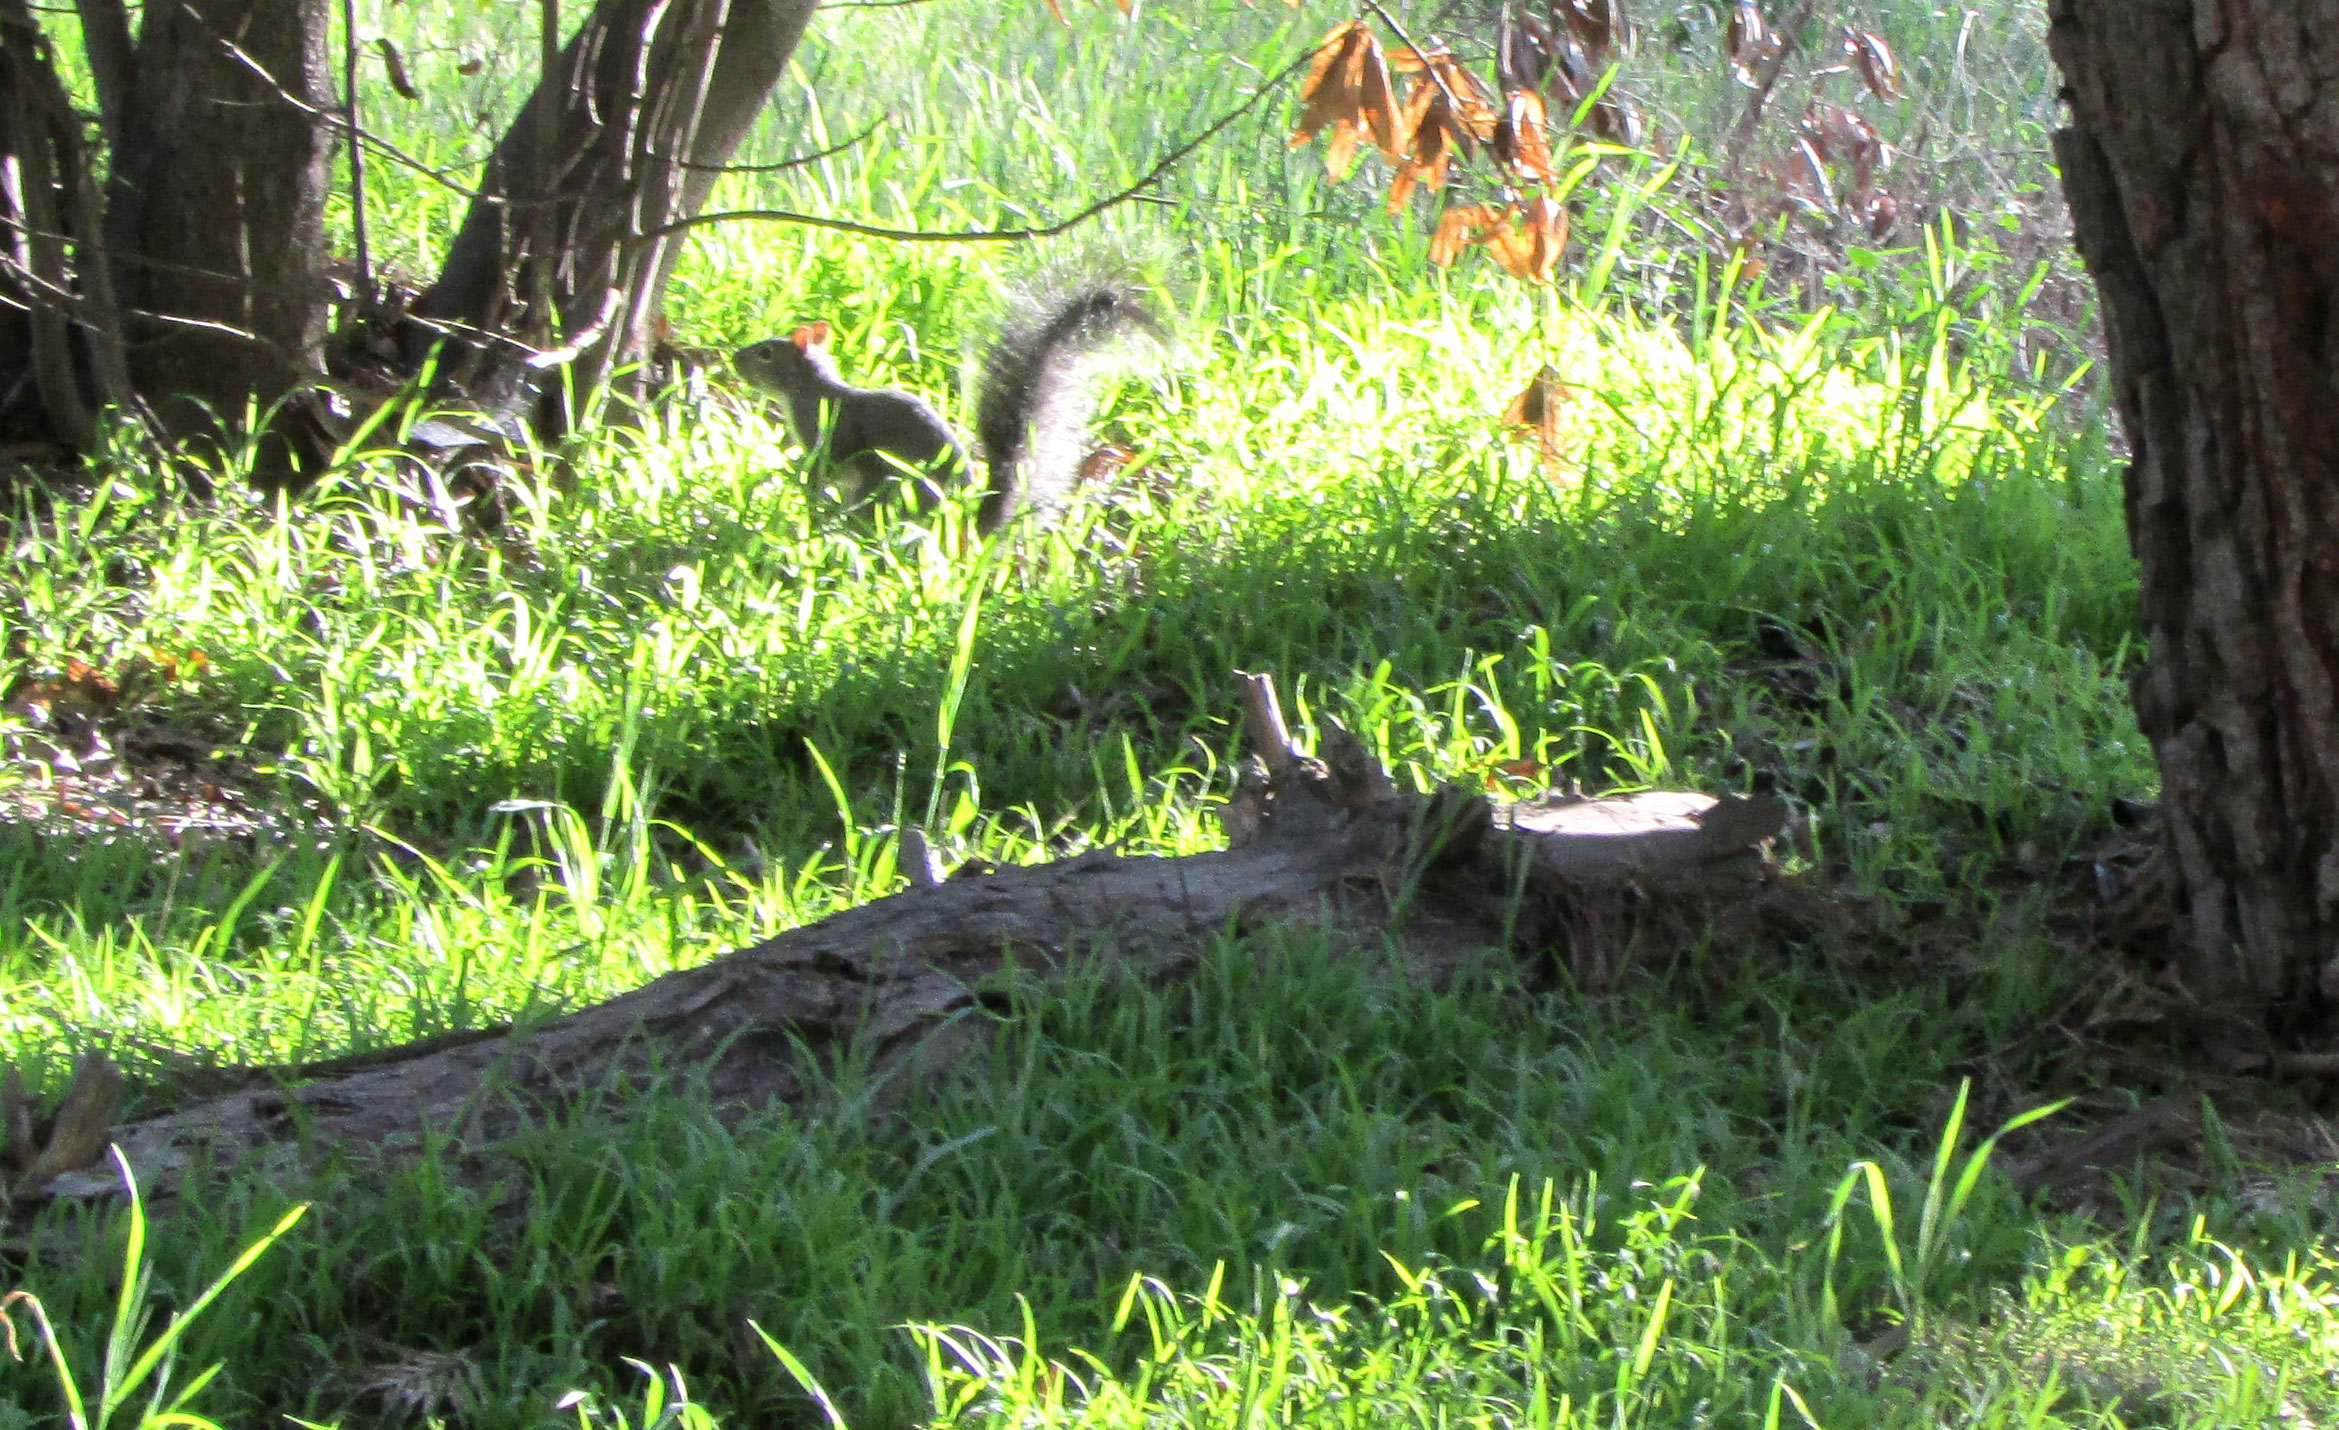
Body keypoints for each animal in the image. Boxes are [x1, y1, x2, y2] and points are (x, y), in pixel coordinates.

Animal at [734, 277, 1164, 535]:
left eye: (765, 354)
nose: (734, 358)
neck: (810, 389)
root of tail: (967, 525)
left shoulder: (829, 437)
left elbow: (823, 469)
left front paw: (800, 492)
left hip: (888, 487)